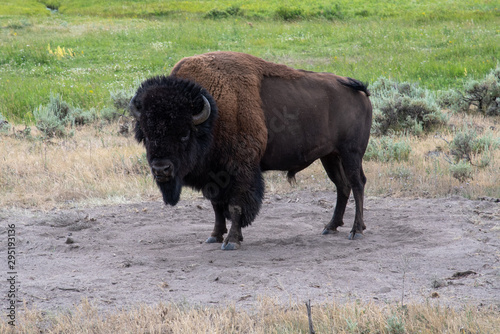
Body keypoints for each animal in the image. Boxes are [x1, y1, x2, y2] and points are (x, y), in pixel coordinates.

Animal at [129, 51, 372, 250]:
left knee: (357, 183)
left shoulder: (240, 170)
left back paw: (356, 231)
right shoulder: (213, 174)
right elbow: (216, 206)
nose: (161, 169)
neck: (213, 114)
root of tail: (359, 91)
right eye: (147, 134)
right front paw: (214, 236)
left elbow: (235, 205)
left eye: (184, 133)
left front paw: (231, 241)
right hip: (330, 156)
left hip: (351, 153)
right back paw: (330, 227)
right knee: (342, 186)